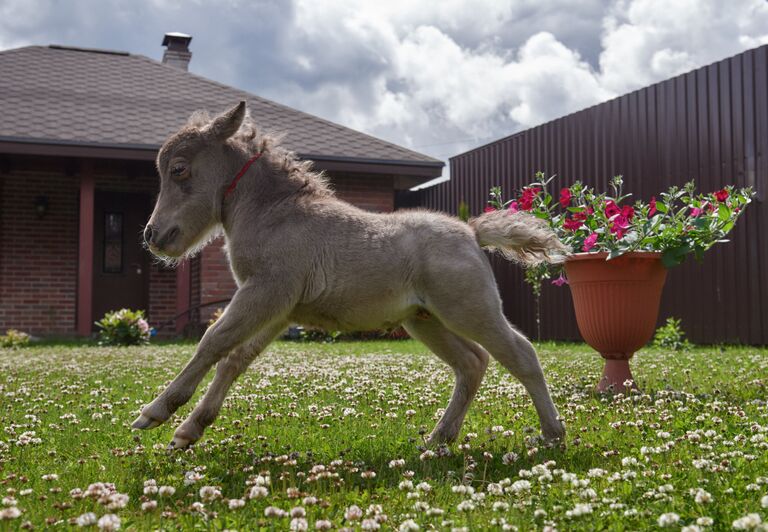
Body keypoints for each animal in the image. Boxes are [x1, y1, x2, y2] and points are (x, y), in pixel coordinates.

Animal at [134, 101, 564, 448]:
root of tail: (471, 232)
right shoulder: (278, 309)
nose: (153, 235)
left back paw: (552, 434)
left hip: (470, 310)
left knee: (521, 353)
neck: (275, 213)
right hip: (425, 321)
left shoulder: (265, 292)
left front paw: (155, 412)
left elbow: (212, 343)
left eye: (179, 169)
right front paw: (189, 431)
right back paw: (438, 438)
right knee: (472, 363)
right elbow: (235, 359)